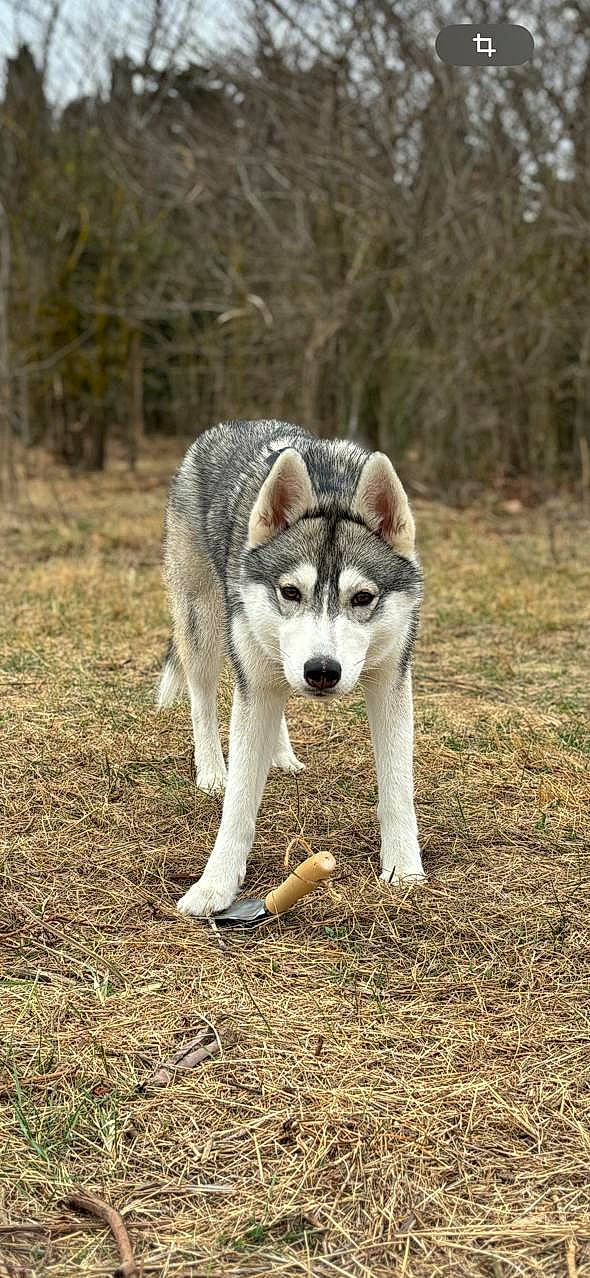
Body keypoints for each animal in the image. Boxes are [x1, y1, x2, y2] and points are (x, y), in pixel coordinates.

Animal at [156, 419, 425, 916]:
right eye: (291, 592)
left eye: (363, 597)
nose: (321, 670)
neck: (331, 488)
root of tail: (232, 424)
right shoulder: (254, 685)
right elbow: (240, 799)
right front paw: (215, 886)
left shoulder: (390, 682)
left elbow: (397, 787)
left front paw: (403, 869)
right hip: (205, 626)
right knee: (203, 700)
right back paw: (212, 771)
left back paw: (280, 755)